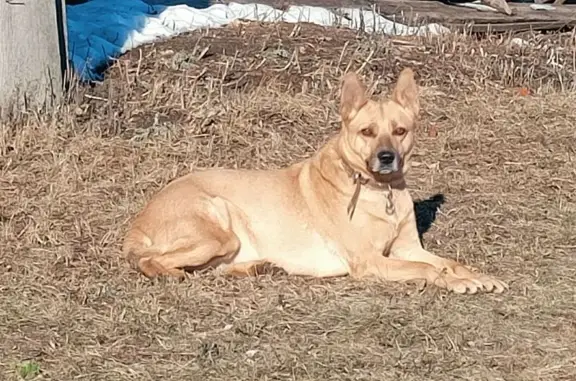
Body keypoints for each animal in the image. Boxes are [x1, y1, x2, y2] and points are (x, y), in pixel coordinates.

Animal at [122, 68, 508, 294]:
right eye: (367, 132)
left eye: (400, 131)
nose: (387, 157)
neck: (378, 191)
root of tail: (138, 222)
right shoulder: (372, 261)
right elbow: (425, 269)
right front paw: (459, 281)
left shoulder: (408, 247)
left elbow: (446, 261)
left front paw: (476, 274)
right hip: (217, 226)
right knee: (149, 260)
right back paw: (169, 273)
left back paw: (255, 267)